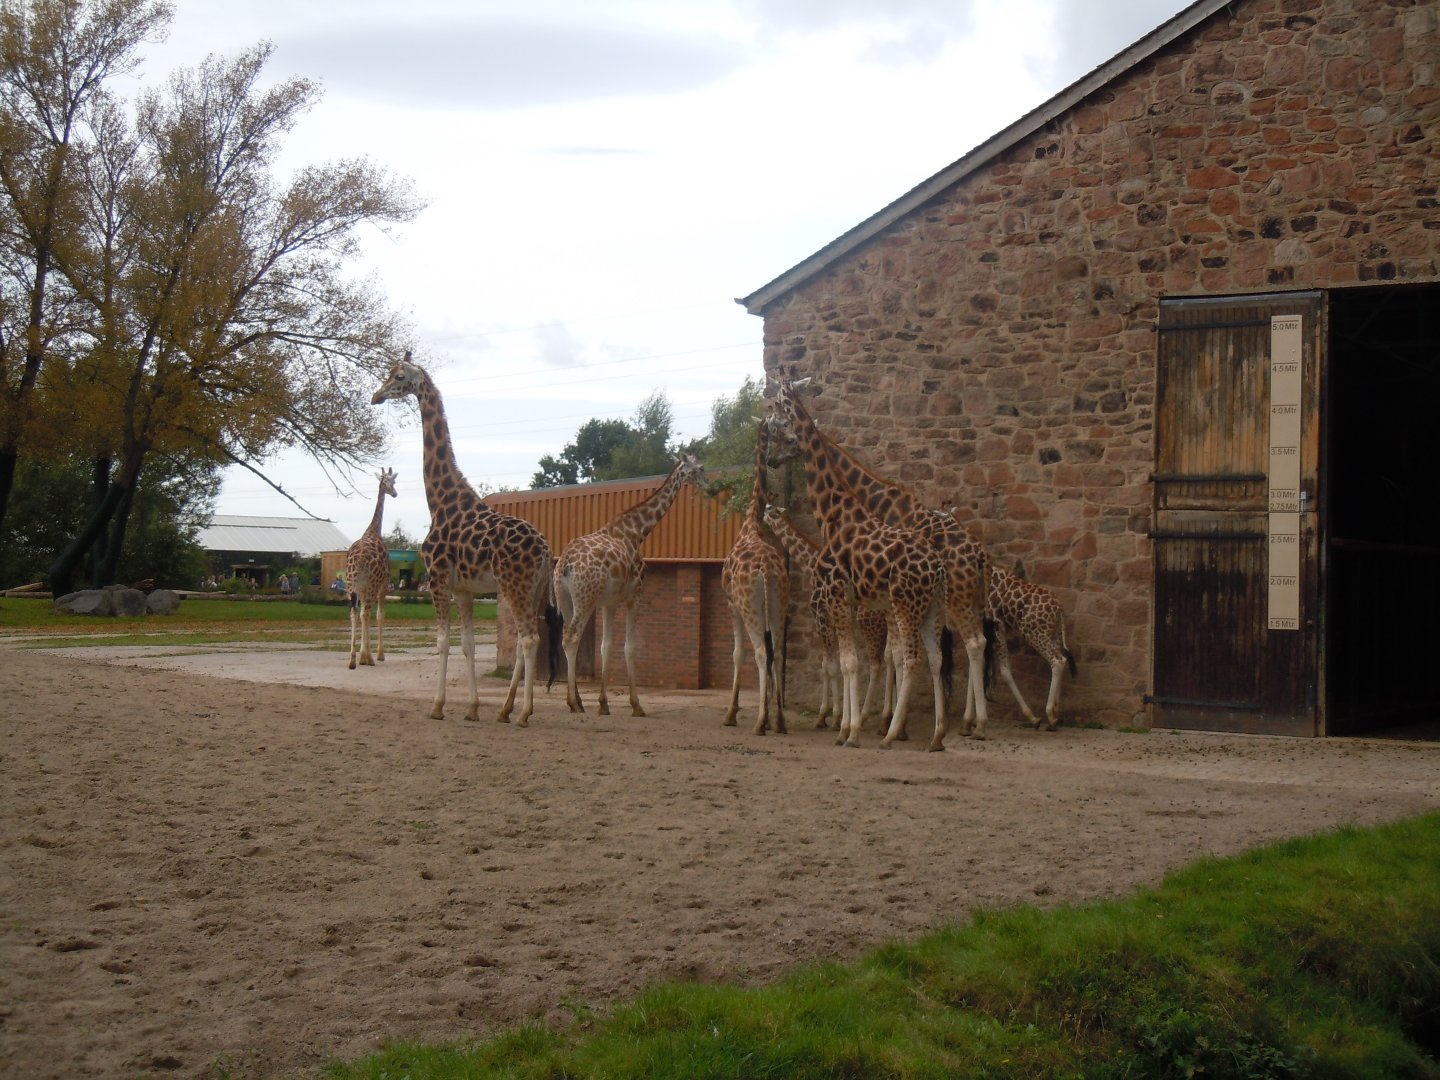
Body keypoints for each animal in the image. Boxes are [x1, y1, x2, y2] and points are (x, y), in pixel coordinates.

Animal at [345, 467, 397, 669]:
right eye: (392, 482)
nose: (395, 493)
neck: (374, 530)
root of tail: (359, 559)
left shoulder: (360, 588)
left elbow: (363, 615)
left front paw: (363, 655)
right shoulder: (384, 584)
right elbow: (379, 615)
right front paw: (378, 655)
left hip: (350, 585)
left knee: (354, 613)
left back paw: (352, 660)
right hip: (372, 585)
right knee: (365, 612)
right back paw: (367, 658)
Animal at [370, 353, 556, 726]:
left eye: (398, 377)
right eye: (387, 374)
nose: (376, 396)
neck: (441, 503)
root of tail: (545, 551)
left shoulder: (438, 579)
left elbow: (442, 642)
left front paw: (437, 706)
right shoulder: (464, 589)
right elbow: (467, 645)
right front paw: (471, 708)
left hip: (514, 586)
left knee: (529, 638)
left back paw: (523, 713)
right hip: (533, 589)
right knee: (526, 638)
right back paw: (506, 709)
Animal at [553, 453, 706, 717]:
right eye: (700, 468)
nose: (708, 487)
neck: (636, 533)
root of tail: (564, 564)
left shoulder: (610, 603)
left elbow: (606, 646)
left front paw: (603, 704)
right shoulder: (635, 596)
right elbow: (630, 647)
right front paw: (637, 705)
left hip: (566, 599)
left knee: (566, 637)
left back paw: (578, 701)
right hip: (585, 599)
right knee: (572, 638)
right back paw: (573, 702)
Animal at [761, 504, 891, 732]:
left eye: (770, 511)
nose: (760, 515)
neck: (812, 563)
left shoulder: (821, 618)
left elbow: (829, 667)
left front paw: (828, 716)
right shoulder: (831, 623)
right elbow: (831, 665)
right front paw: (835, 717)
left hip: (869, 624)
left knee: (877, 664)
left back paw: (866, 716)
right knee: (895, 659)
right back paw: (890, 722)